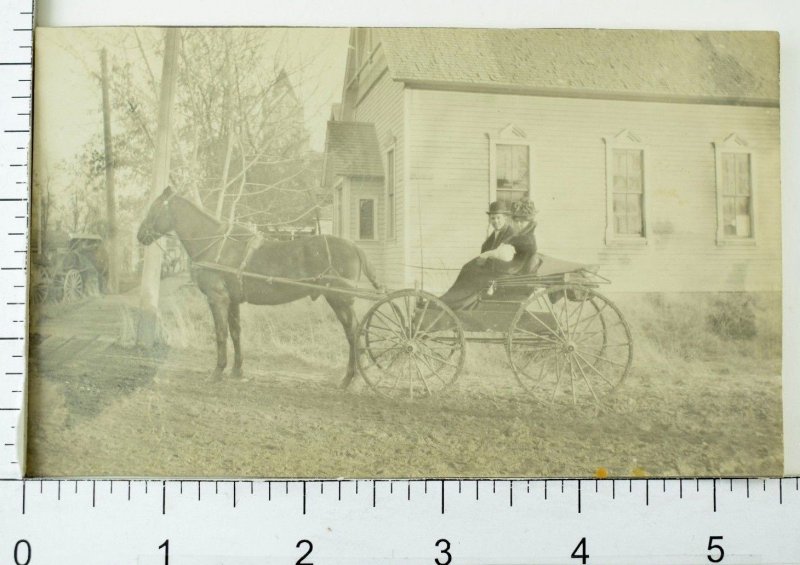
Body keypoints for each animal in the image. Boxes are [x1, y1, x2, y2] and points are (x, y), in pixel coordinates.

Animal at [136, 187, 382, 386]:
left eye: (154, 208)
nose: (140, 235)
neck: (215, 244)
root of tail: (353, 246)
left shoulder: (217, 299)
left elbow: (220, 334)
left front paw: (217, 371)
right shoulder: (233, 300)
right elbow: (235, 333)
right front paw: (237, 370)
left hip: (339, 299)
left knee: (353, 333)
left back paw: (350, 378)